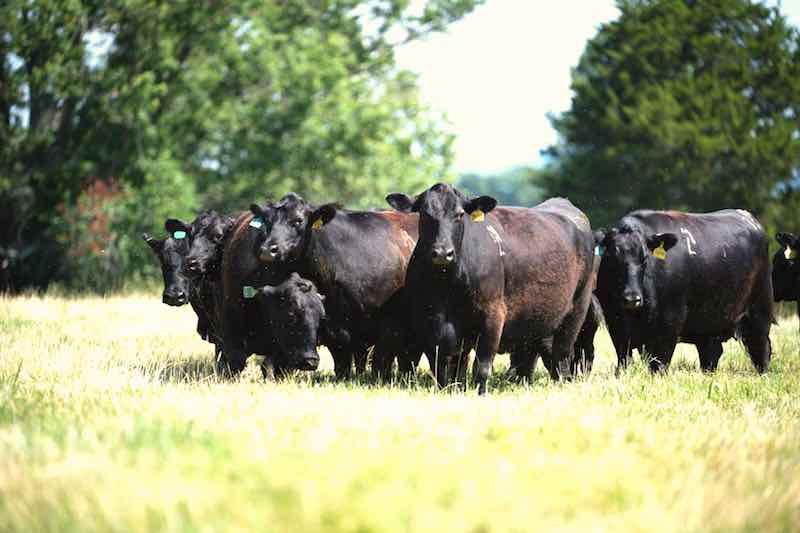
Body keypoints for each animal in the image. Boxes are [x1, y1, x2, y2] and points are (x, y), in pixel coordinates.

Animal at [248, 193, 421, 380]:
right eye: (267, 221)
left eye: (298, 220)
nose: (268, 249)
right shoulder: (333, 328)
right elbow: (343, 364)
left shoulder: (391, 325)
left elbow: (380, 363)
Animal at [386, 183, 595, 395]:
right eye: (425, 213)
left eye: (460, 214)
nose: (443, 253)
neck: (447, 286)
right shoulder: (428, 320)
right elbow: (442, 367)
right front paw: (447, 391)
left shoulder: (492, 316)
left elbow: (482, 366)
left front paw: (481, 393)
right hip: (535, 319)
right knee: (530, 358)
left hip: (577, 309)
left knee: (562, 355)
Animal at [595, 209, 774, 374]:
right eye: (611, 257)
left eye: (644, 259)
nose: (632, 298)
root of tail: (752, 221)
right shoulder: (615, 322)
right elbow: (623, 359)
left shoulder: (670, 322)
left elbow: (659, 363)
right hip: (708, 323)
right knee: (712, 353)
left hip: (759, 310)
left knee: (761, 347)